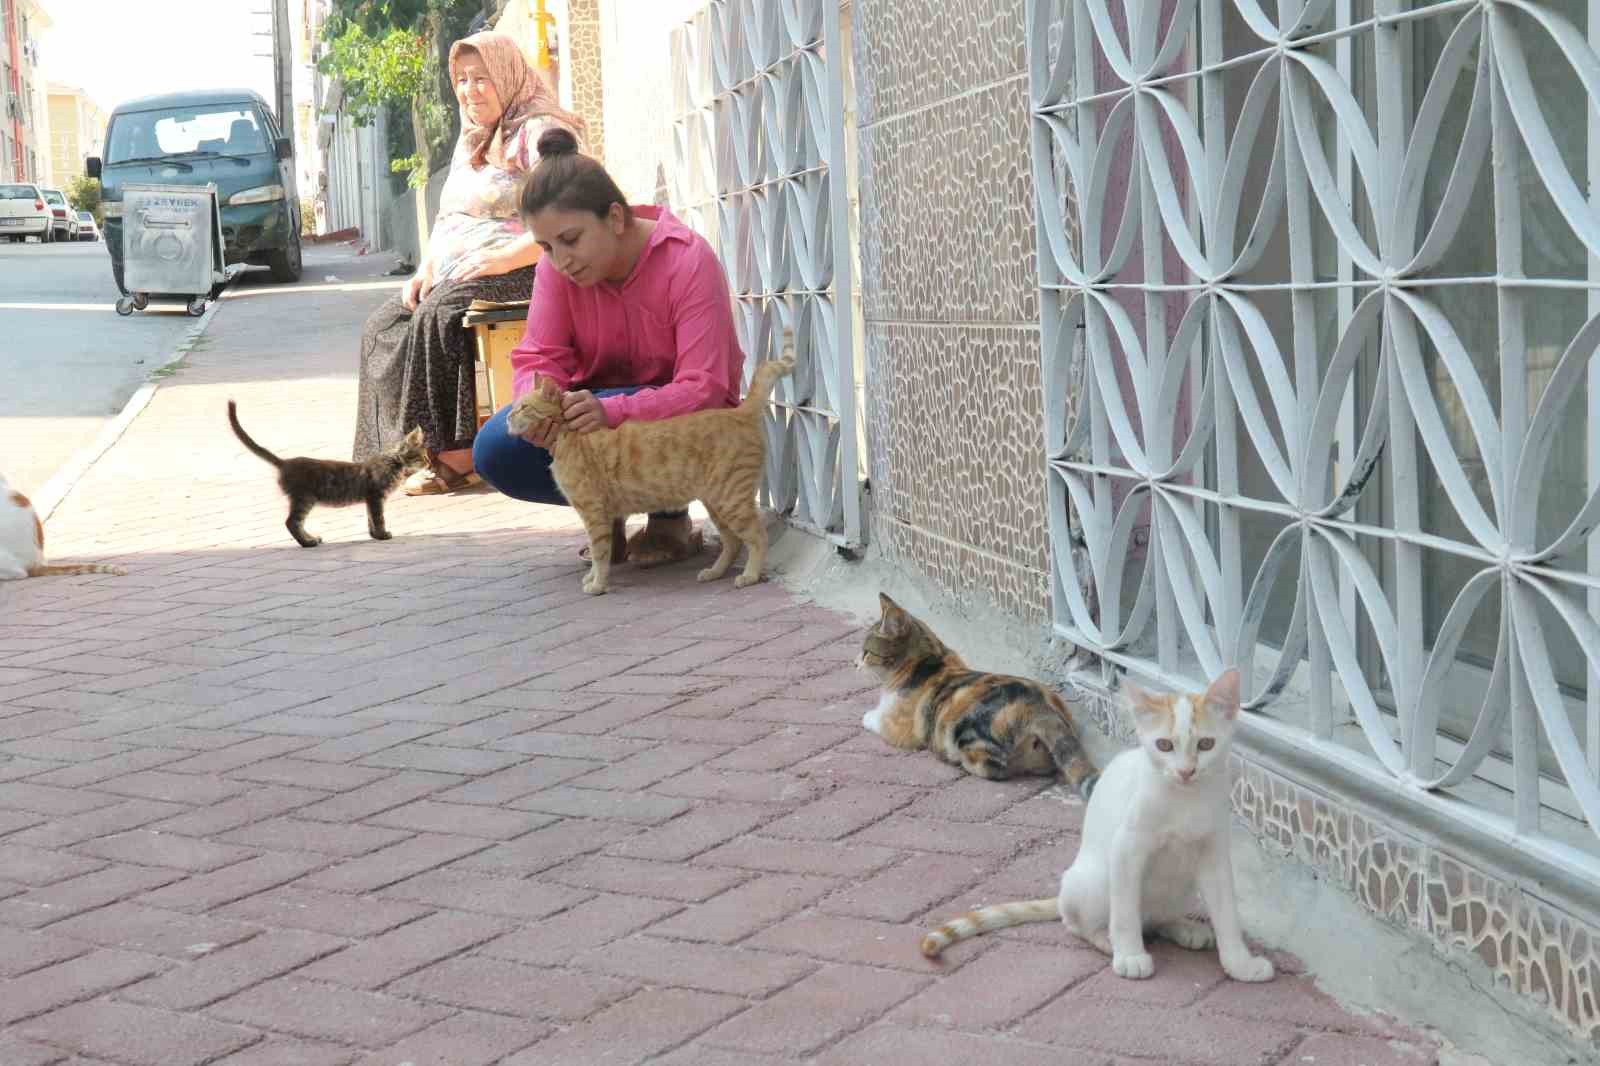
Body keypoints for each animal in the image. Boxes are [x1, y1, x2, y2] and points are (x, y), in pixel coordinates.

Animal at [225, 400, 428, 547]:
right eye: (423, 456)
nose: (429, 462)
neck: (396, 464)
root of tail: (286, 462)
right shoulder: (376, 496)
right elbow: (378, 518)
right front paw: (382, 534)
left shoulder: (371, 499)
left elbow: (370, 518)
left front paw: (374, 535)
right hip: (305, 498)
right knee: (291, 522)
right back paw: (308, 542)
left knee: (295, 522)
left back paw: (311, 538)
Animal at [505, 336, 793, 592]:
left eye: (524, 407)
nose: (507, 416)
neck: (570, 438)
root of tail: (739, 412)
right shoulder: (597, 514)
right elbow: (599, 554)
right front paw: (592, 578)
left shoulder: (594, 513)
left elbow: (600, 553)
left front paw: (598, 584)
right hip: (717, 503)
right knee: (733, 542)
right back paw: (715, 572)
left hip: (731, 499)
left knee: (758, 537)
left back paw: (750, 575)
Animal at [864, 592, 1100, 793]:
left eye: (866, 652)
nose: (856, 662)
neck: (929, 657)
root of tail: (1038, 705)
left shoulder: (897, 727)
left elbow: (874, 717)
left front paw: (866, 716)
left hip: (967, 733)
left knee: (995, 768)